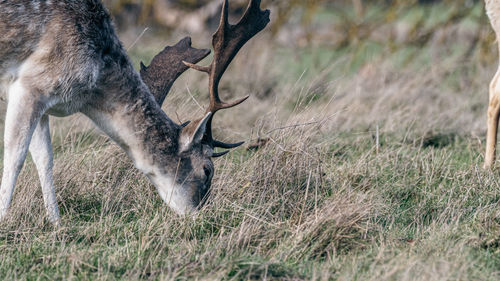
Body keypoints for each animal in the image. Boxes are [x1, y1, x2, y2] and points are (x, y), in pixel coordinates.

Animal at [0, 0, 270, 223]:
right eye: (207, 170)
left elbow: (44, 159)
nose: (203, 214)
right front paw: (4, 219)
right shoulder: (29, 85)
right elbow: (15, 156)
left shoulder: (45, 101)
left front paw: (56, 222)